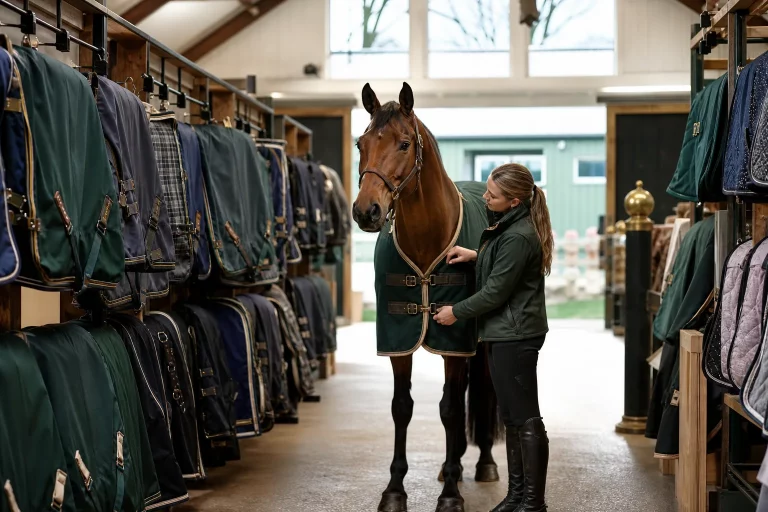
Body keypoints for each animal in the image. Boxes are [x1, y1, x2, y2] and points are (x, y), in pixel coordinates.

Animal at [352, 82, 503, 512]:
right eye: (360, 143)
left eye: (404, 143)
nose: (366, 211)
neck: (425, 242)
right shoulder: (398, 341)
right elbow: (402, 408)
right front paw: (394, 490)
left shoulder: (455, 342)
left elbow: (450, 409)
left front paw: (450, 494)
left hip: (478, 346)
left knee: (481, 390)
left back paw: (483, 463)